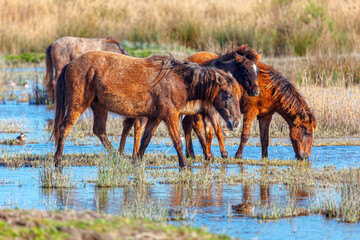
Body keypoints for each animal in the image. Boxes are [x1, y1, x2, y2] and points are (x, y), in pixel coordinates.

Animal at [52, 51, 242, 172]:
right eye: (228, 95)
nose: (236, 122)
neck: (179, 80)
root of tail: (70, 64)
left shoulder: (155, 117)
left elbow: (145, 140)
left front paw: (136, 161)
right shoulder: (170, 115)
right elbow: (177, 141)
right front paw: (184, 164)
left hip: (99, 106)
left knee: (99, 131)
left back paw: (118, 157)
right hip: (79, 104)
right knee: (64, 128)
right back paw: (58, 161)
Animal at [119, 44, 260, 158]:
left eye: (257, 70)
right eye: (246, 70)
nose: (256, 91)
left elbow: (207, 132)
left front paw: (208, 154)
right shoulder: (210, 111)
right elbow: (216, 131)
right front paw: (222, 155)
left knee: (128, 125)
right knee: (138, 127)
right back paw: (132, 153)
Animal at [184, 51, 316, 160]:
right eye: (307, 133)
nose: (305, 157)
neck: (269, 89)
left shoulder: (265, 116)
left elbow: (264, 138)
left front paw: (264, 157)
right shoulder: (251, 111)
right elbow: (245, 135)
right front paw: (238, 155)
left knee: (187, 125)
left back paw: (191, 154)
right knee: (197, 127)